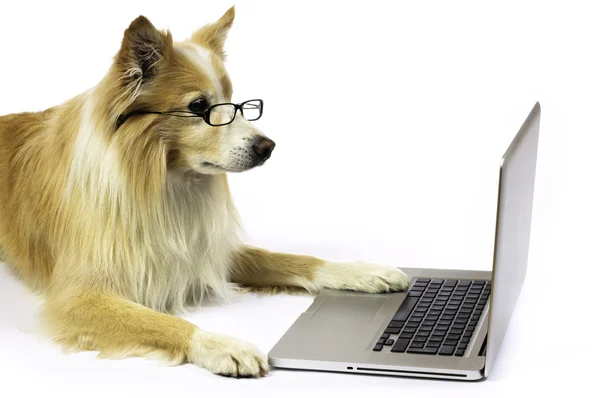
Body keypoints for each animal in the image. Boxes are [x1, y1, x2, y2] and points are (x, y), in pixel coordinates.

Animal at [0, 7, 408, 378]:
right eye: (199, 106)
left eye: (241, 103)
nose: (268, 146)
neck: (165, 182)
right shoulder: (78, 296)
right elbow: (160, 321)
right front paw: (222, 345)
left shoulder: (205, 247)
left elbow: (288, 259)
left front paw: (362, 271)